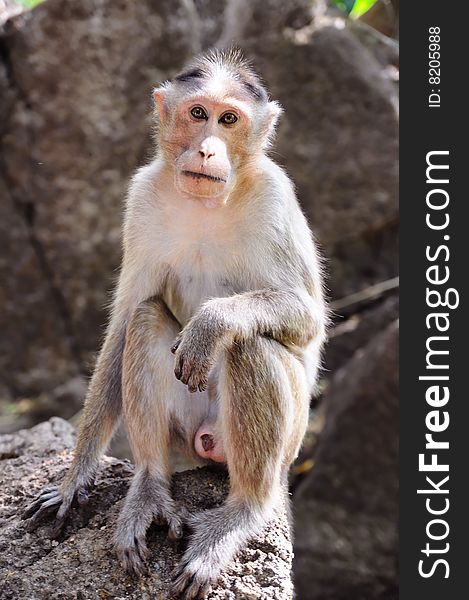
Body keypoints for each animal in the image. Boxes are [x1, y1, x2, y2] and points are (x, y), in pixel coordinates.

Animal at [22, 48, 328, 600]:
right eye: (198, 113)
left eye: (229, 120)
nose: (207, 150)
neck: (208, 204)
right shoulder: (141, 199)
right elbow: (126, 319)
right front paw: (75, 478)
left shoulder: (276, 196)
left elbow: (308, 317)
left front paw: (211, 321)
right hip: (184, 435)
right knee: (146, 319)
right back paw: (149, 486)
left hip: (287, 441)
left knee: (249, 346)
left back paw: (242, 512)